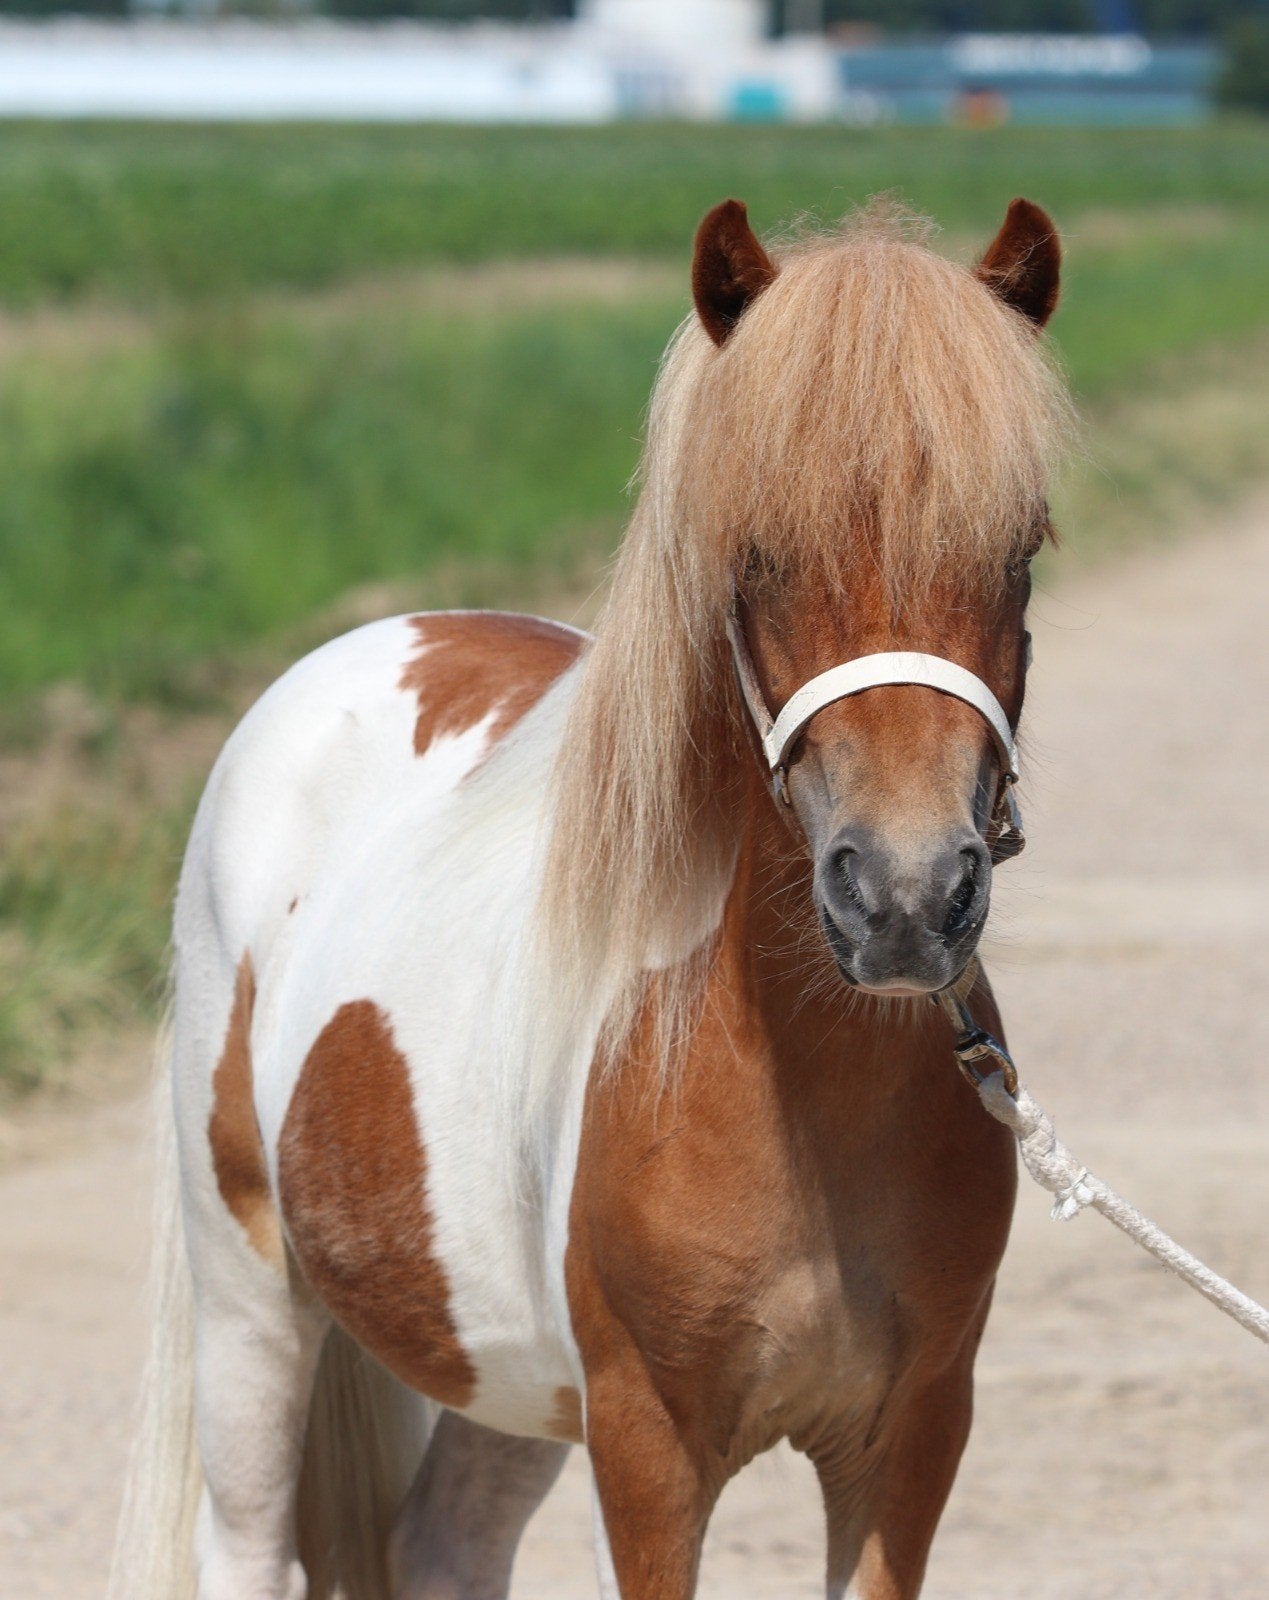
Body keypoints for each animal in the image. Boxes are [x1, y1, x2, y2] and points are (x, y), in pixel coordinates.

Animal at [110, 194, 1070, 1600]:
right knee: (242, 1542)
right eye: (754, 552)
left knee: (443, 1545)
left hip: (504, 1376)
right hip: (251, 1300)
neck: (785, 1084)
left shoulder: (910, 1439)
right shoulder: (648, 1443)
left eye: (1020, 548)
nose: (904, 897)